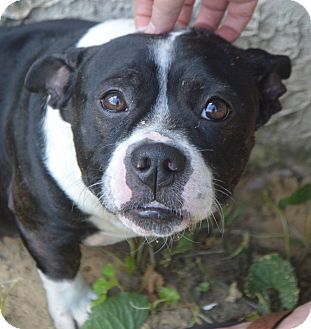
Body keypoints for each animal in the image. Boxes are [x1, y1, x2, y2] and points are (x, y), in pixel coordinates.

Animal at [0, 18, 292, 328]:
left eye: (216, 108)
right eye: (113, 101)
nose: (157, 160)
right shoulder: (43, 227)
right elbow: (61, 270)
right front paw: (76, 308)